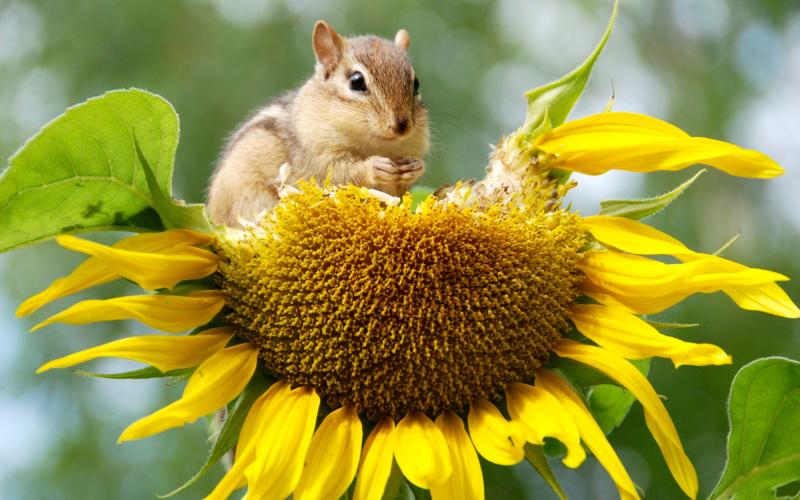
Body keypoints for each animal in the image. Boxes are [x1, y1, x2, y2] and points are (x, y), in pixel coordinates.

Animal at [207, 20, 430, 227]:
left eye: (416, 84)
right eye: (356, 81)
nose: (402, 126)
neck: (376, 144)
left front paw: (415, 167)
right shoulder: (318, 154)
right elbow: (340, 172)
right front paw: (375, 166)